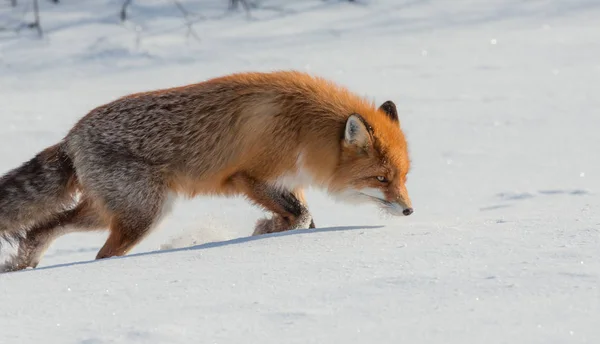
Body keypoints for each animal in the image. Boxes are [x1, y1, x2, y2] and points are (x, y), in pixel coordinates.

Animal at [0, 71, 412, 272]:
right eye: (381, 179)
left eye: (404, 177)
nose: (409, 210)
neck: (304, 128)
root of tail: (72, 136)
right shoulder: (249, 177)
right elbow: (300, 216)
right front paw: (266, 230)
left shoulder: (288, 182)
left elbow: (304, 219)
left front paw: (272, 231)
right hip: (143, 215)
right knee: (100, 255)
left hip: (107, 212)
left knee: (43, 227)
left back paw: (23, 264)